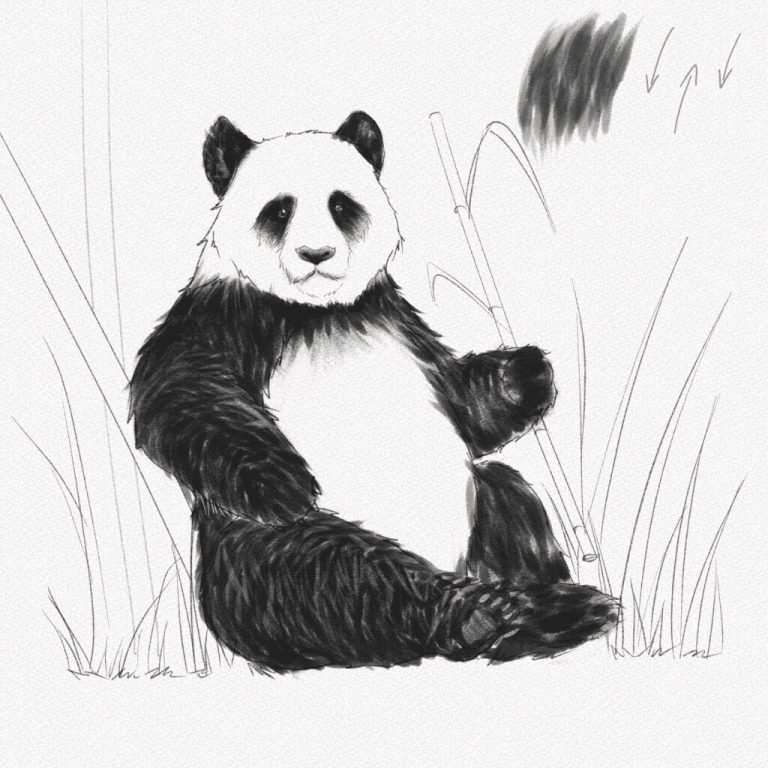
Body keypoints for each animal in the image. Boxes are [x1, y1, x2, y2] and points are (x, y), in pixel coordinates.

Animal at [129, 111, 618, 671]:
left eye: (341, 205)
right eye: (279, 210)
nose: (316, 254)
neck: (320, 312)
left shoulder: (402, 325)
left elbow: (467, 406)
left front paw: (527, 373)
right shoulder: (223, 315)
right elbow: (181, 393)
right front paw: (280, 481)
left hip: (477, 511)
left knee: (508, 497)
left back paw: (550, 606)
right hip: (263, 556)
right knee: (341, 577)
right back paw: (488, 617)